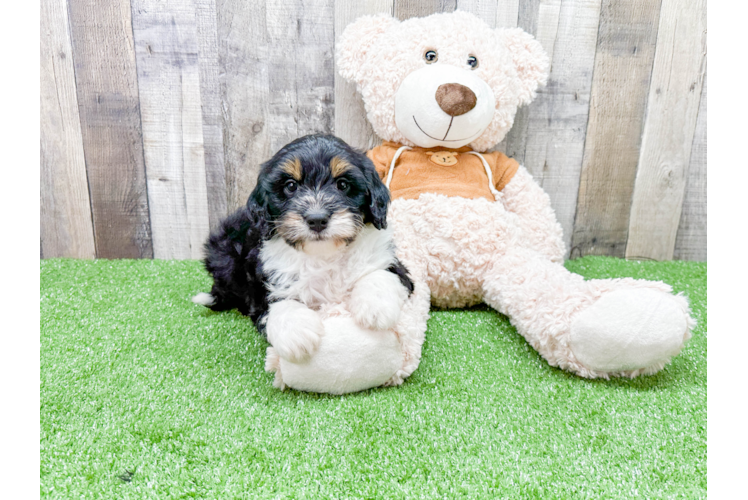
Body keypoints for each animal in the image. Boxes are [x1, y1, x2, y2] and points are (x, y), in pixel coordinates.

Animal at [193, 135, 414, 364]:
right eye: (290, 186)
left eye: (342, 184)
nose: (317, 219)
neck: (324, 254)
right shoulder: (265, 281)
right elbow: (274, 302)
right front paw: (296, 334)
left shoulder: (393, 264)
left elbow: (381, 274)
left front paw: (376, 307)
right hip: (223, 252)